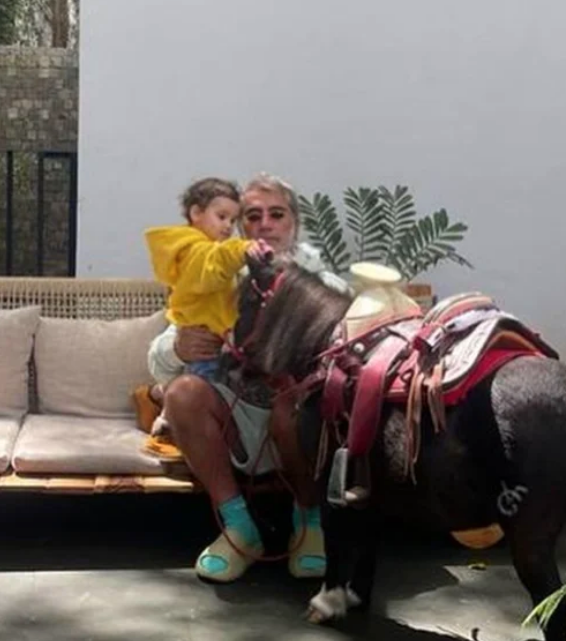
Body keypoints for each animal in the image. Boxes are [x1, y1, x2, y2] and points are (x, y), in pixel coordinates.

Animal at [231, 258, 566, 641]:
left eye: (245, 302)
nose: (229, 362)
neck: (327, 346)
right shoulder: (369, 489)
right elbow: (367, 541)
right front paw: (356, 596)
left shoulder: (330, 481)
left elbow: (337, 537)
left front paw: (327, 602)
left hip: (529, 539)